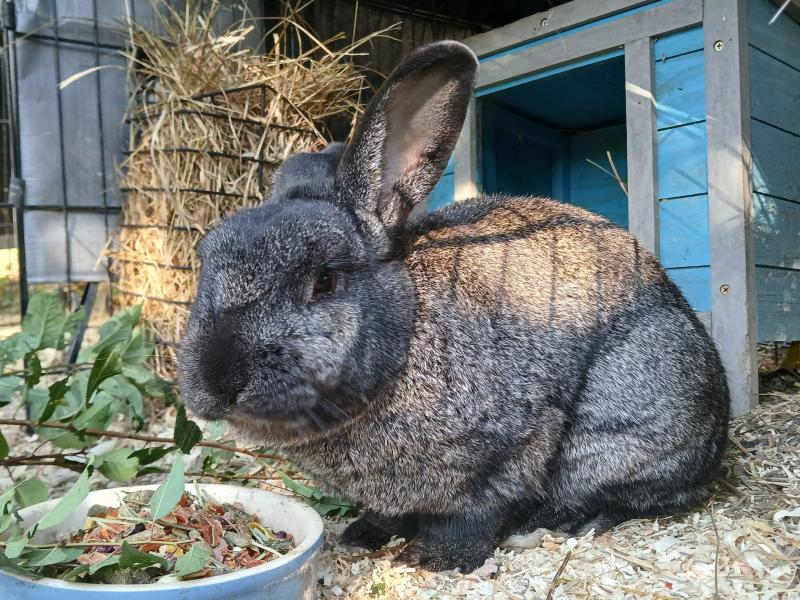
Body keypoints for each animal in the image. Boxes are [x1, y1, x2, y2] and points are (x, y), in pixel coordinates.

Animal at [178, 40, 730, 573]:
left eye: (324, 280)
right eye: (205, 261)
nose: (217, 381)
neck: (406, 335)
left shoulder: (510, 448)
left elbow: (472, 515)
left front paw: (436, 559)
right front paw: (364, 535)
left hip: (626, 422)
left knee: (635, 495)